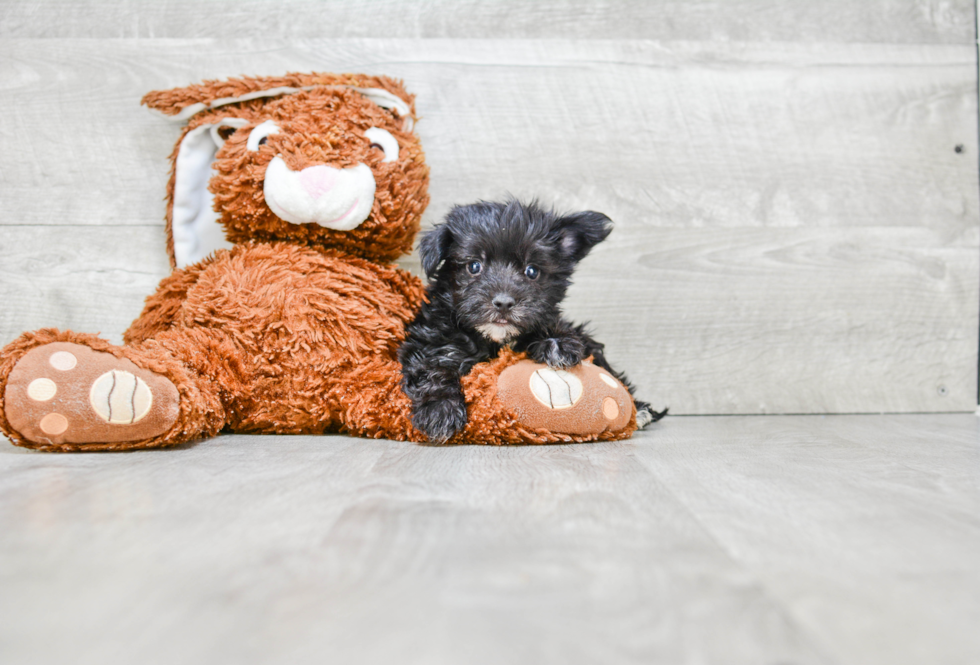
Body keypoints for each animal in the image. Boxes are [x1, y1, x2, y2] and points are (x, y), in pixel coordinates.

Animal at [398, 200, 668, 444]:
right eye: (474, 266)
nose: (504, 302)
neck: (495, 339)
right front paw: (439, 410)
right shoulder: (430, 341)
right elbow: (431, 369)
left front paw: (557, 344)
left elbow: (554, 328)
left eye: (532, 271)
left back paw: (641, 411)